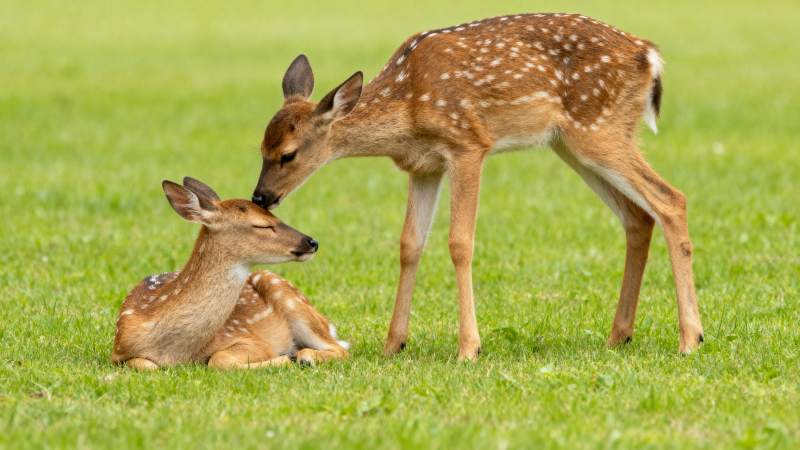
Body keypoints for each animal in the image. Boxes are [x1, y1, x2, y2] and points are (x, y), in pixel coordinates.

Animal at [112, 177, 349, 369]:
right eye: (262, 225)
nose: (312, 242)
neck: (176, 352)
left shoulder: (251, 339)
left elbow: (218, 359)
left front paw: (284, 358)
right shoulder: (118, 351)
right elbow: (144, 364)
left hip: (287, 295)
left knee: (341, 348)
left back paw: (305, 356)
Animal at [250, 13, 704, 361]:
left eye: (288, 154)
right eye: (261, 147)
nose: (261, 197)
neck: (408, 106)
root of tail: (650, 56)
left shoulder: (468, 145)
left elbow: (459, 242)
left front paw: (469, 348)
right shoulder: (424, 166)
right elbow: (409, 244)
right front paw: (393, 344)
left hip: (598, 129)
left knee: (671, 199)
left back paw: (690, 339)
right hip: (574, 143)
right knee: (638, 216)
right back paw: (618, 336)